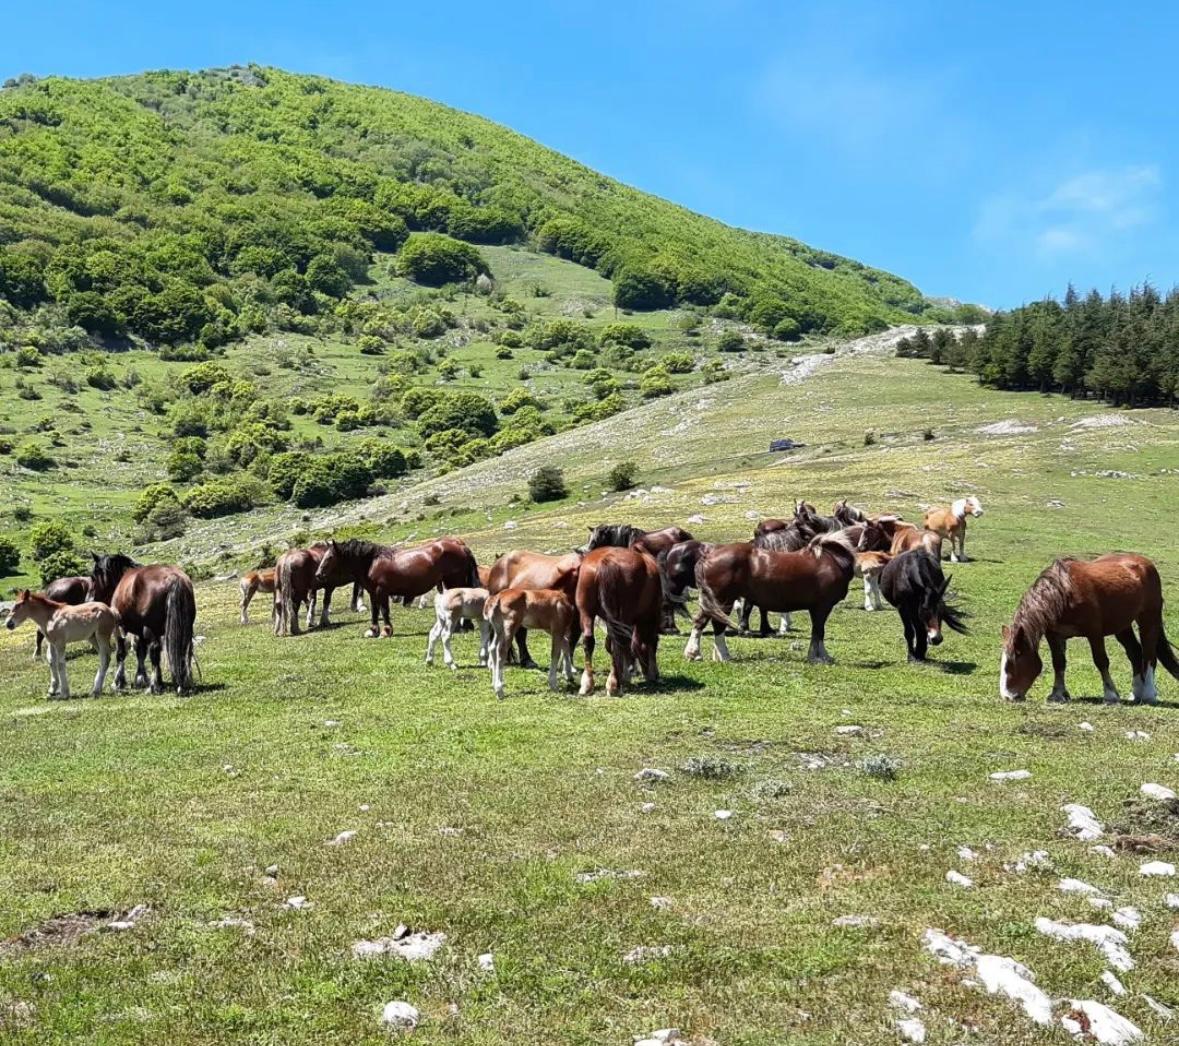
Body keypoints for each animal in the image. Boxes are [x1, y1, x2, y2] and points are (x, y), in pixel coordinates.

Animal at [89, 556, 195, 693]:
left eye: (94, 576)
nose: (93, 598)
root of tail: (173, 578)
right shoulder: (140, 631)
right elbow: (141, 652)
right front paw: (141, 678)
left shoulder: (119, 628)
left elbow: (121, 653)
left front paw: (118, 682)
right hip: (184, 628)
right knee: (183, 649)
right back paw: (180, 683)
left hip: (152, 629)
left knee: (154, 651)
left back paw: (155, 685)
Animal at [318, 540, 478, 636]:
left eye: (330, 557)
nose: (318, 574)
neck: (372, 562)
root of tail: (460, 546)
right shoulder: (373, 593)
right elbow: (375, 611)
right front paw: (373, 631)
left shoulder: (381, 591)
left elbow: (384, 611)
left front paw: (386, 631)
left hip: (454, 581)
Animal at [577, 544, 669, 698]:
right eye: (656, 645)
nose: (654, 675)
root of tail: (606, 561)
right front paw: (626, 675)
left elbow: (610, 644)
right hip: (623, 614)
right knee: (618, 642)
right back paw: (613, 684)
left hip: (586, 612)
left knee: (589, 641)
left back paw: (587, 684)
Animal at [688, 530, 863, 660]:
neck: (832, 559)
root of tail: (707, 557)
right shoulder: (822, 607)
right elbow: (818, 632)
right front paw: (819, 657)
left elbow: (817, 631)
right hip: (723, 600)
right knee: (717, 625)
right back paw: (723, 656)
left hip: (714, 601)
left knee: (700, 621)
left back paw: (695, 654)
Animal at [1004, 551, 1179, 707]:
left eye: (1014, 660)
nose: (1007, 696)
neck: (1064, 594)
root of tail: (1145, 563)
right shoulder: (1054, 635)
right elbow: (1058, 662)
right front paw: (1057, 694)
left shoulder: (1094, 633)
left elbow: (1101, 661)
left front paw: (1110, 695)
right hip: (1122, 625)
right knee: (1135, 653)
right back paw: (1135, 693)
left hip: (1149, 619)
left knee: (1149, 655)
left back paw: (1149, 694)